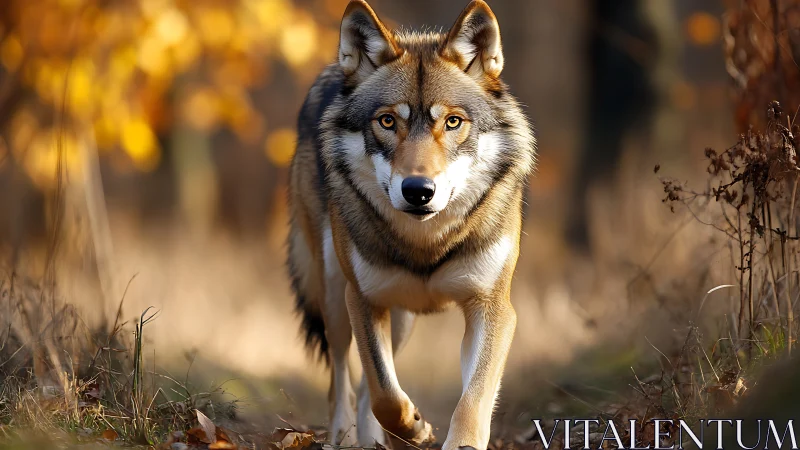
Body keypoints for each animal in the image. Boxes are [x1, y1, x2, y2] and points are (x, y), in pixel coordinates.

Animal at [287, 1, 536, 449]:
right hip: (335, 297)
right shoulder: (363, 300)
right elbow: (385, 393)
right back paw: (349, 436)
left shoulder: (492, 307)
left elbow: (473, 397)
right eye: (387, 122)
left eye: (453, 122)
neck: (427, 243)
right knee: (343, 378)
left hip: (399, 319)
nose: (418, 190)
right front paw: (415, 428)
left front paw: (454, 439)